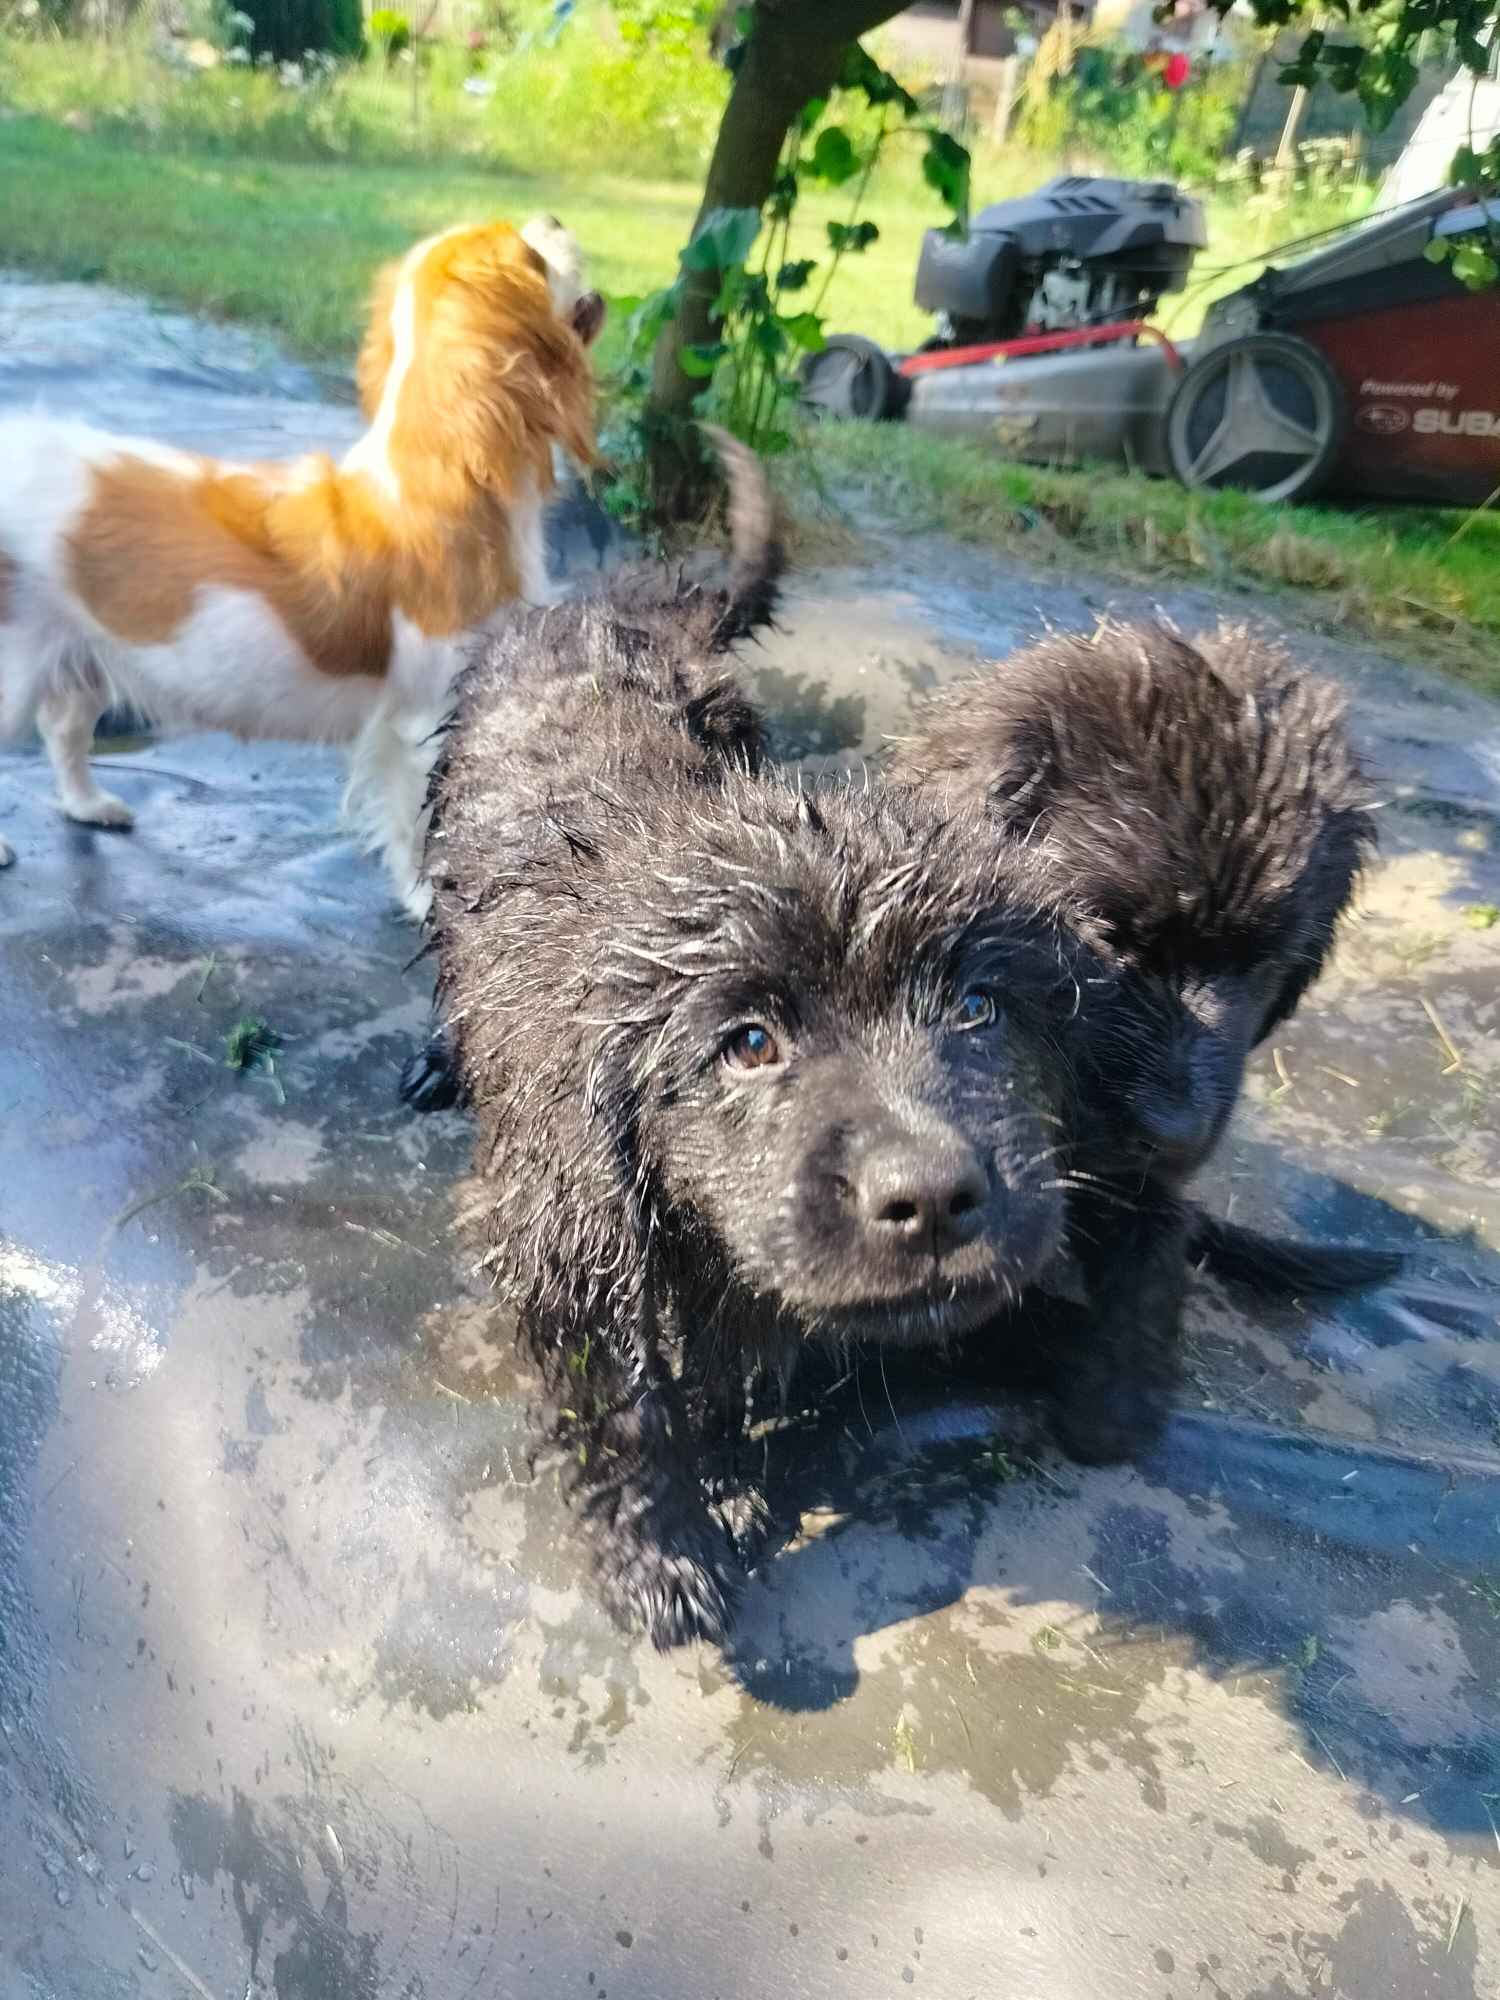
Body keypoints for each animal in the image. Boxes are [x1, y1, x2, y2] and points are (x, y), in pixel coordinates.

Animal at [2, 211, 612, 916]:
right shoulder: (420, 722)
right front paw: (427, 902)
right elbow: (419, 823)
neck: (444, 475)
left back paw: (88, 805)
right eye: (532, 253)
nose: (554, 217)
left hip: (85, 653)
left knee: (64, 728)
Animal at [424, 446, 1096, 1648]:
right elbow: (622, 1404)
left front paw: (731, 1465)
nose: (932, 1197)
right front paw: (661, 1561)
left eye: (979, 1007)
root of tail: (613, 596)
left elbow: (737, 1351)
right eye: (748, 1044)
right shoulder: (561, 1226)